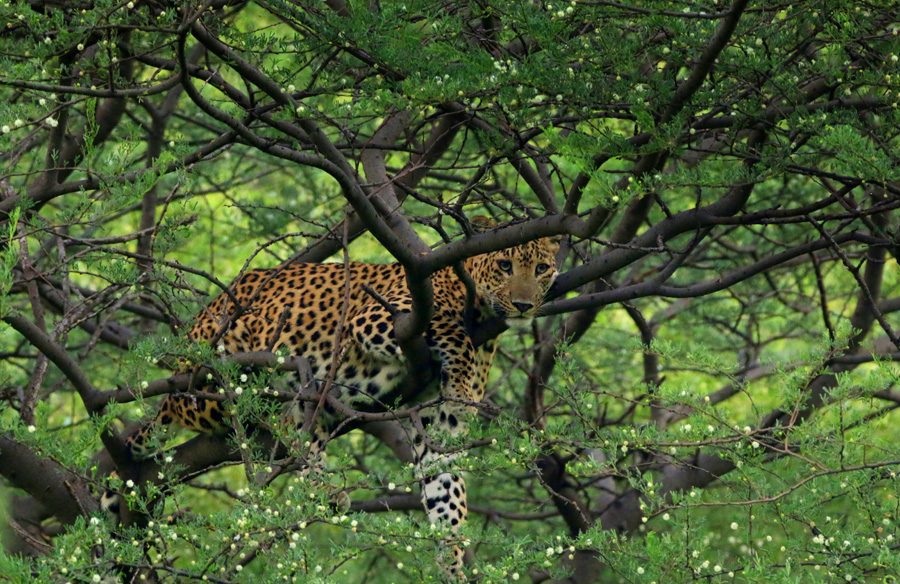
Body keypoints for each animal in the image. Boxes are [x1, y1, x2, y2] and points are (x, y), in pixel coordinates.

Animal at [123, 225, 560, 580]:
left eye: (542, 269)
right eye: (504, 265)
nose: (524, 306)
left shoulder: (438, 428)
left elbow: (446, 492)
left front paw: (451, 562)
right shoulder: (379, 316)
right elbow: (453, 333)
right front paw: (464, 385)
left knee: (298, 425)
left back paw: (324, 482)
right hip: (224, 363)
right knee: (252, 412)